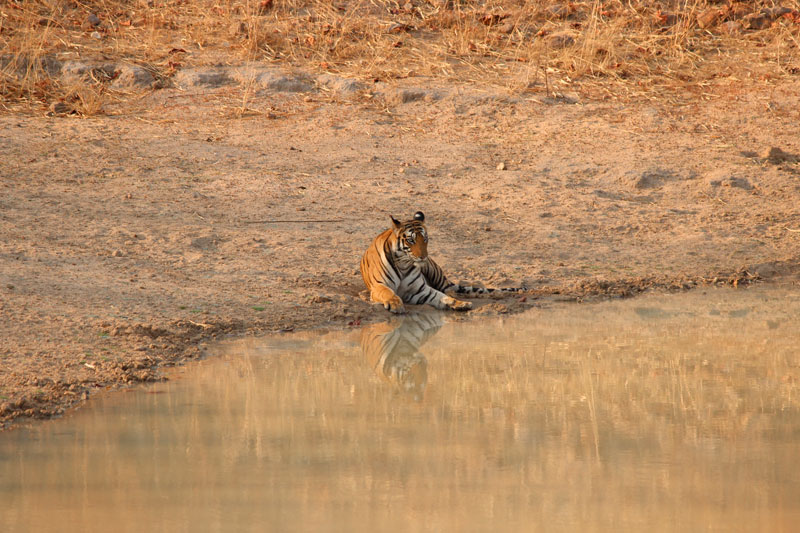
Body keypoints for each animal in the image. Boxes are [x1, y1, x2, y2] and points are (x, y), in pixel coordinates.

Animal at [360, 211, 524, 312]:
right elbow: (388, 293)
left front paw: (459, 304)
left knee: (449, 289)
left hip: (434, 272)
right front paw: (395, 305)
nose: (423, 257)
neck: (404, 265)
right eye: (411, 240)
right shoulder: (379, 286)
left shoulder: (419, 291)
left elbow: (440, 296)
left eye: (425, 239)